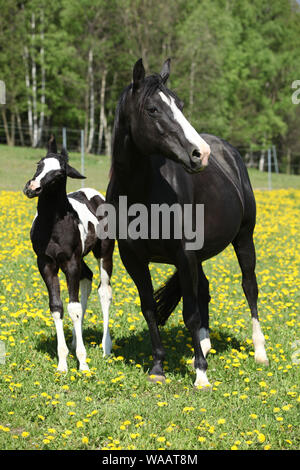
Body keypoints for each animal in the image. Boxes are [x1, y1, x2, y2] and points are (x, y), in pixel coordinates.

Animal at [23, 138, 114, 372]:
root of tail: (95, 194)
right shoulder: (46, 264)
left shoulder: (71, 263)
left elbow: (74, 308)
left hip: (104, 254)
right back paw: (75, 339)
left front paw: (83, 363)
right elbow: (57, 307)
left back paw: (106, 347)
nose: (31, 188)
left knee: (104, 291)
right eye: (39, 164)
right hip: (80, 260)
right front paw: (63, 363)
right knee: (87, 278)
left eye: (59, 174)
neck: (53, 227)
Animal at [106, 58, 268, 388]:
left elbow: (190, 313)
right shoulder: (134, 259)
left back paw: (259, 353)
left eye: (179, 104)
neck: (142, 192)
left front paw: (201, 375)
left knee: (249, 287)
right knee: (204, 289)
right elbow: (149, 309)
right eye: (152, 109)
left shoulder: (184, 255)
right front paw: (158, 367)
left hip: (244, 239)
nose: (200, 153)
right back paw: (202, 346)